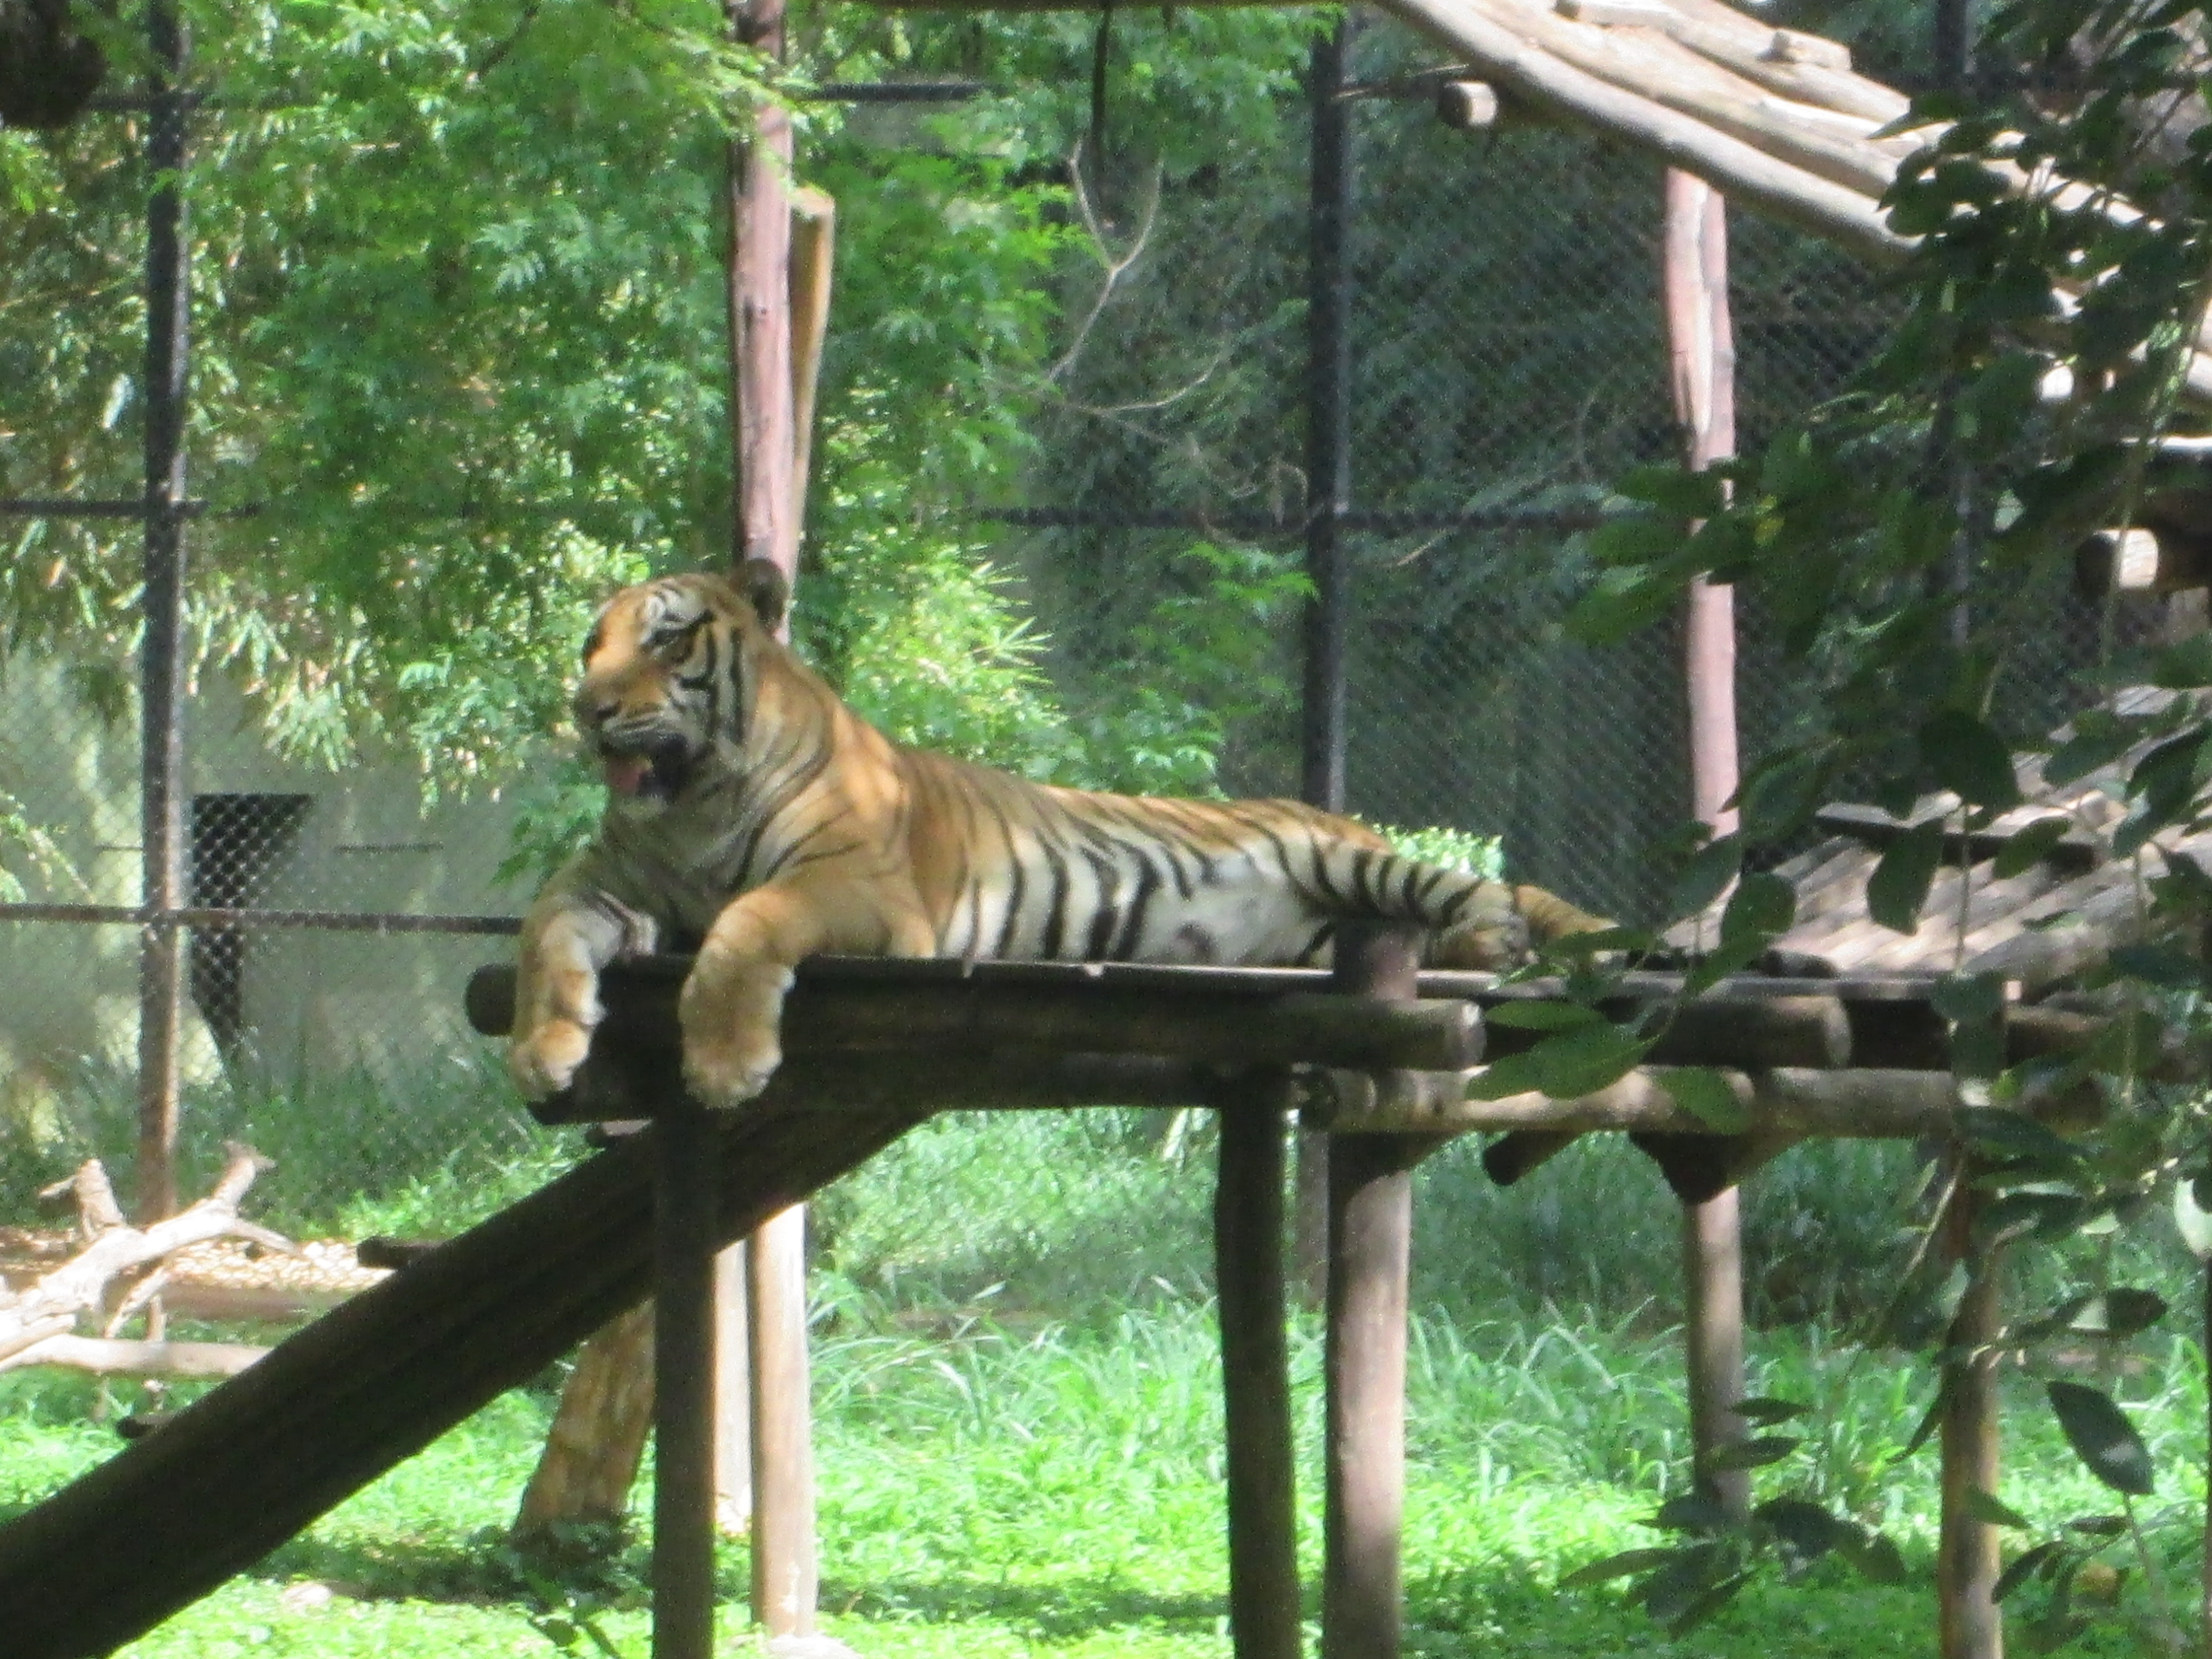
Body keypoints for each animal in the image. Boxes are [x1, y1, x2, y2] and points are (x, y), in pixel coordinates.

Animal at [506, 562, 1601, 1119]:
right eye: (590, 646)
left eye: (663, 638)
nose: (587, 709)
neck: (692, 802)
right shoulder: (599, 880)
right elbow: (540, 936)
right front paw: (542, 1050)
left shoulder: (857, 888)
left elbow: (746, 925)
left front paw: (727, 1064)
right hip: (1317, 935)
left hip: (1342, 858)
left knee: (1477, 889)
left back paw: (1491, 934)